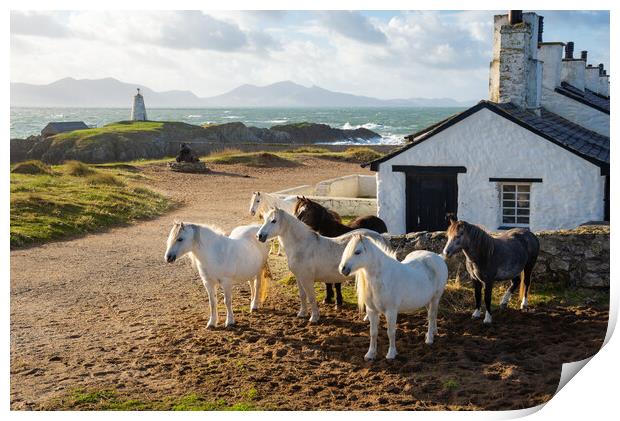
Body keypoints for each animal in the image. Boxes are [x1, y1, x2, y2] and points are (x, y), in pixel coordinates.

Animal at [254, 207, 386, 322]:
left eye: (274, 221)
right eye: (264, 219)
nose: (259, 236)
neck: (303, 245)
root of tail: (380, 237)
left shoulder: (307, 279)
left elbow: (311, 297)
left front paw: (314, 317)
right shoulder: (299, 278)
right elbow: (302, 295)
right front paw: (302, 313)